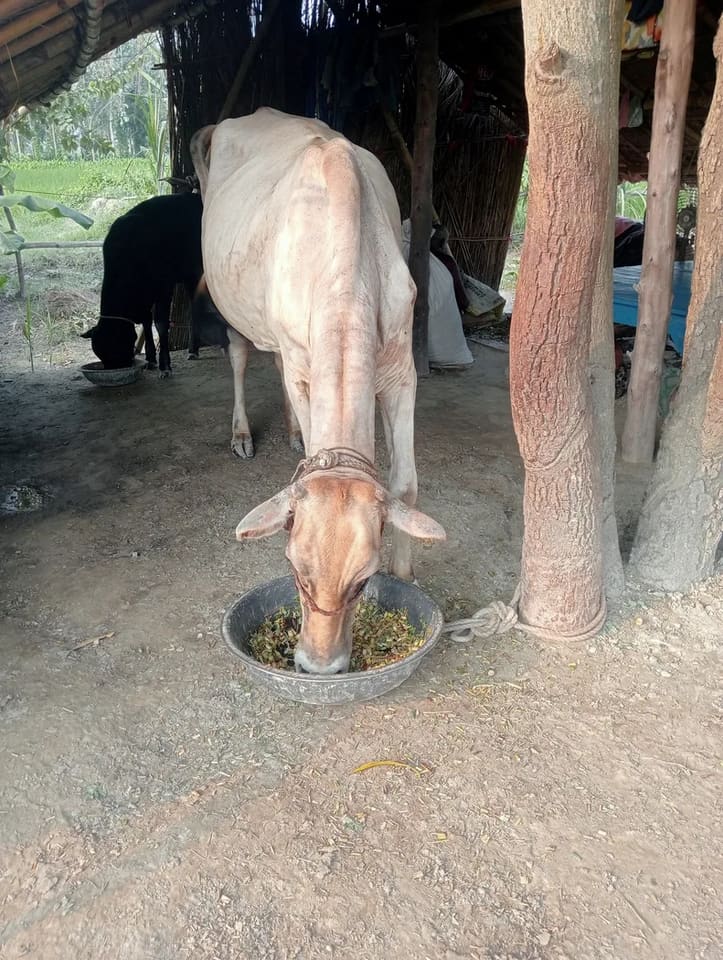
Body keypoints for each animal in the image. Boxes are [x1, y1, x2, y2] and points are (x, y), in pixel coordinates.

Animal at [81, 192, 225, 373]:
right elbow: (147, 323)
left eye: (115, 348)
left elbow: (161, 324)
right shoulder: (146, 296)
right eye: (101, 355)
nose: (122, 367)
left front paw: (165, 365)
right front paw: (150, 359)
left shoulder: (164, 287)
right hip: (192, 276)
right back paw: (194, 349)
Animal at [190, 107, 446, 675]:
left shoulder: (401, 368)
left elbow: (406, 484)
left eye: (363, 580)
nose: (318, 668)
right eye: (292, 568)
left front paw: (406, 575)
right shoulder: (304, 364)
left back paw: (289, 432)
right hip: (230, 300)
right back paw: (243, 434)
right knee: (240, 354)